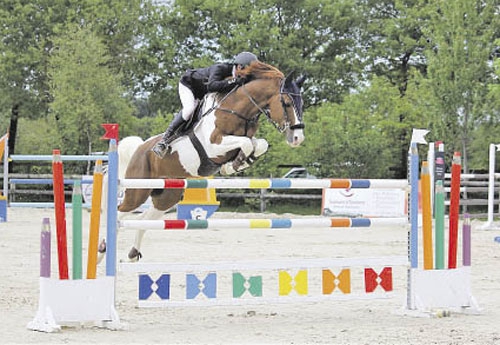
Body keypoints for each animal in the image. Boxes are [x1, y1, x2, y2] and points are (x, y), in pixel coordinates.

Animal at [114, 61, 306, 260]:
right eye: (287, 103)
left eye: (302, 103)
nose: (298, 138)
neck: (238, 111)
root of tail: (140, 148)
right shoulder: (214, 145)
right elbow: (246, 143)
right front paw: (233, 165)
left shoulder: (245, 140)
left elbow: (259, 144)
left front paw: (239, 163)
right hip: (138, 190)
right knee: (120, 213)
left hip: (166, 197)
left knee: (143, 219)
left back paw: (133, 253)